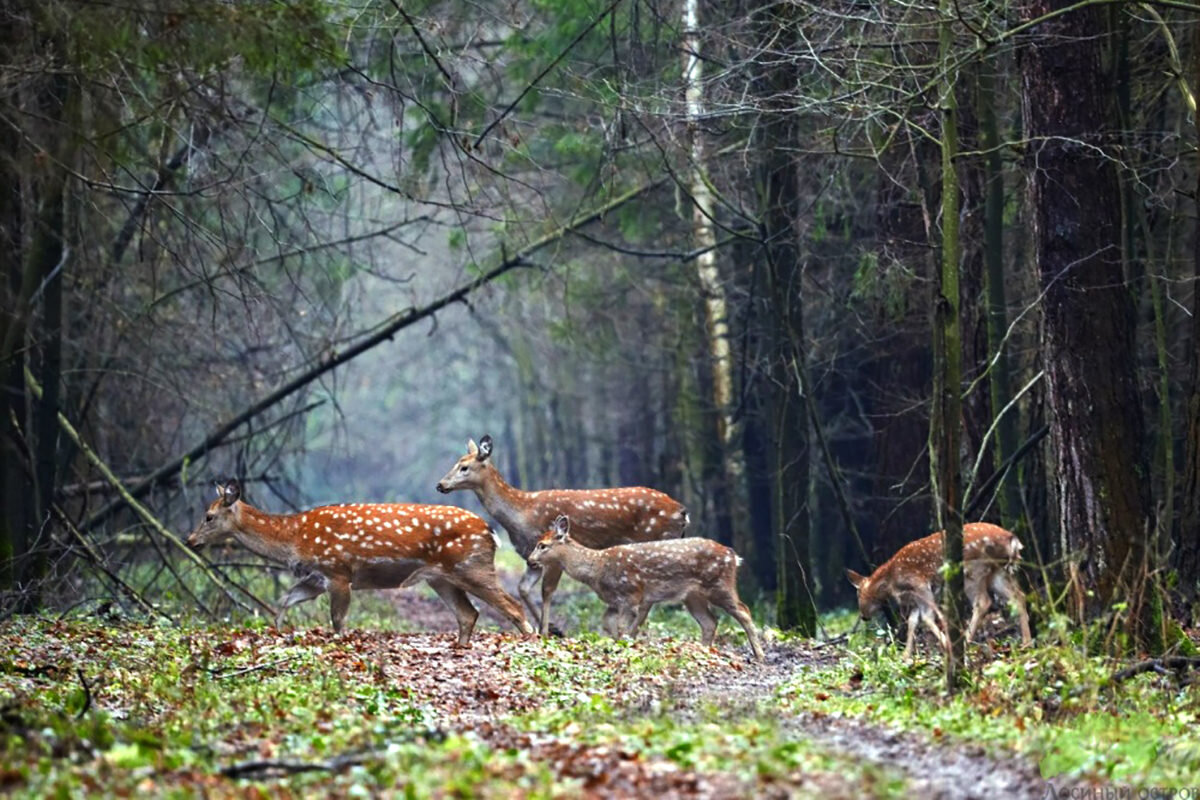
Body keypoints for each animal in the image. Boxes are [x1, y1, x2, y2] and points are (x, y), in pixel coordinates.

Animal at [184, 482, 532, 642]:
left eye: (209, 515)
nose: (189, 540)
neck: (295, 538)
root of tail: (491, 533)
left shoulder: (338, 571)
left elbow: (338, 620)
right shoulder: (315, 578)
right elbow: (284, 600)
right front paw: (279, 632)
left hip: (472, 566)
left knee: (512, 606)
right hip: (440, 577)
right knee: (468, 614)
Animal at [436, 434, 691, 633]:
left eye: (464, 467)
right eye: (456, 463)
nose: (440, 485)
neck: (522, 513)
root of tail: (682, 512)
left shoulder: (554, 554)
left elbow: (546, 591)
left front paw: (548, 631)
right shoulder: (531, 556)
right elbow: (523, 588)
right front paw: (551, 628)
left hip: (654, 541)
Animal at [523, 515, 758, 662]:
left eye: (542, 545)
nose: (530, 560)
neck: (597, 569)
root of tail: (733, 556)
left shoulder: (631, 595)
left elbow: (622, 626)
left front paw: (625, 645)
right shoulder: (614, 602)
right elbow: (607, 623)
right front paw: (619, 644)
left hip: (719, 585)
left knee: (744, 610)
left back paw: (759, 655)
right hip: (692, 596)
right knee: (710, 622)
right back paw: (703, 652)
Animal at [844, 522, 1032, 662]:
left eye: (859, 595)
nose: (863, 616)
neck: (892, 579)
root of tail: (1012, 540)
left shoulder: (920, 584)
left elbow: (927, 617)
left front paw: (945, 644)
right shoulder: (915, 597)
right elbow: (913, 621)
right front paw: (906, 655)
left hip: (974, 569)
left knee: (983, 602)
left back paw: (965, 643)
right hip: (997, 571)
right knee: (1018, 596)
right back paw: (1026, 642)